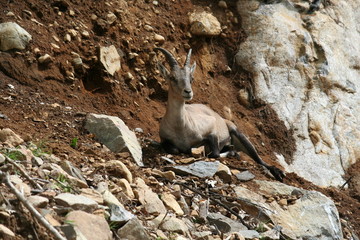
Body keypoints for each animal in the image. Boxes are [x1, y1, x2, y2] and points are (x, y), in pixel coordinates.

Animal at [154, 47, 284, 181]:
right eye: (172, 77)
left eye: (191, 78)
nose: (188, 92)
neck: (181, 127)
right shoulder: (164, 139)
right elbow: (175, 150)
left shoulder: (211, 129)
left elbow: (214, 154)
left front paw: (230, 153)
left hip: (238, 134)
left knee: (258, 159)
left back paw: (278, 172)